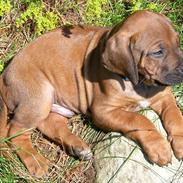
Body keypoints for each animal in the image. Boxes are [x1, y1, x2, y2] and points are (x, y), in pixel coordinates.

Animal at [0, 10, 183, 177]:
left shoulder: (163, 96)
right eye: (157, 52)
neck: (140, 82)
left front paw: (180, 140)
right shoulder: (103, 111)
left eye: (177, 42)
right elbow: (139, 119)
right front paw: (159, 146)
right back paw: (36, 161)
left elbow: (175, 115)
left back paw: (77, 147)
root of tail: (4, 74)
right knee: (14, 131)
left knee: (50, 123)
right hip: (39, 97)